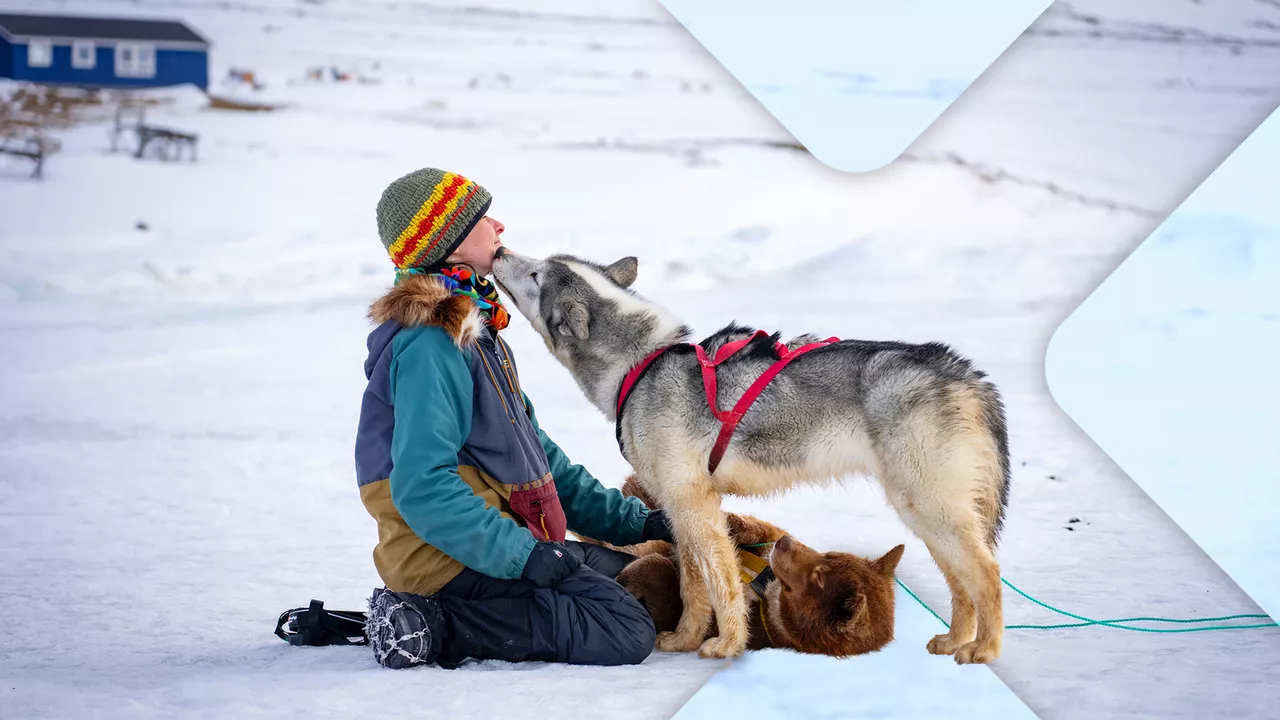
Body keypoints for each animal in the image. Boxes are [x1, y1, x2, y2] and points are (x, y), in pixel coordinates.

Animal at [586, 474, 901, 653]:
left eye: (819, 577)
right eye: (828, 555)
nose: (785, 542)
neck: (766, 586)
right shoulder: (765, 538)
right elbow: (747, 528)